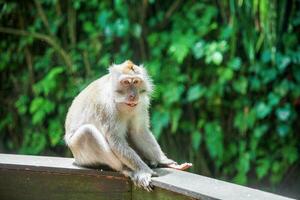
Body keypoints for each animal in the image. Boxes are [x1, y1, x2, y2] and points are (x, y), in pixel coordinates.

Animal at [65, 59, 192, 191]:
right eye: (126, 82)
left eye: (136, 82)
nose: (133, 95)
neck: (120, 101)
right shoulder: (106, 107)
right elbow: (116, 141)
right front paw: (145, 171)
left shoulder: (141, 103)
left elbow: (138, 132)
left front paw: (164, 161)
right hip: (79, 153)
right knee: (87, 132)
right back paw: (127, 169)